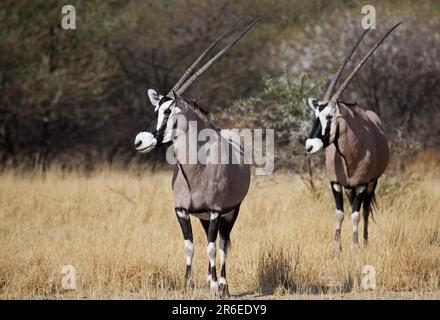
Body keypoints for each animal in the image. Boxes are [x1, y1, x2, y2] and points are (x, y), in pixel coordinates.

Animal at [132, 17, 260, 296]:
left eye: (168, 111)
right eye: (156, 109)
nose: (140, 141)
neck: (195, 168)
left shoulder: (215, 211)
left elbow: (212, 248)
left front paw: (215, 286)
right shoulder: (181, 211)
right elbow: (189, 245)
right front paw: (187, 283)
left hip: (231, 213)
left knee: (222, 244)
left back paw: (222, 284)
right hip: (203, 217)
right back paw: (210, 280)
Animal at [304, 22, 400, 254]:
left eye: (329, 117)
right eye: (315, 116)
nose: (309, 146)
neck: (350, 153)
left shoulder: (363, 184)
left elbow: (356, 214)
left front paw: (355, 248)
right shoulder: (336, 183)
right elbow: (339, 214)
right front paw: (336, 248)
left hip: (372, 183)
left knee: (364, 210)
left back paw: (364, 242)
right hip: (350, 188)